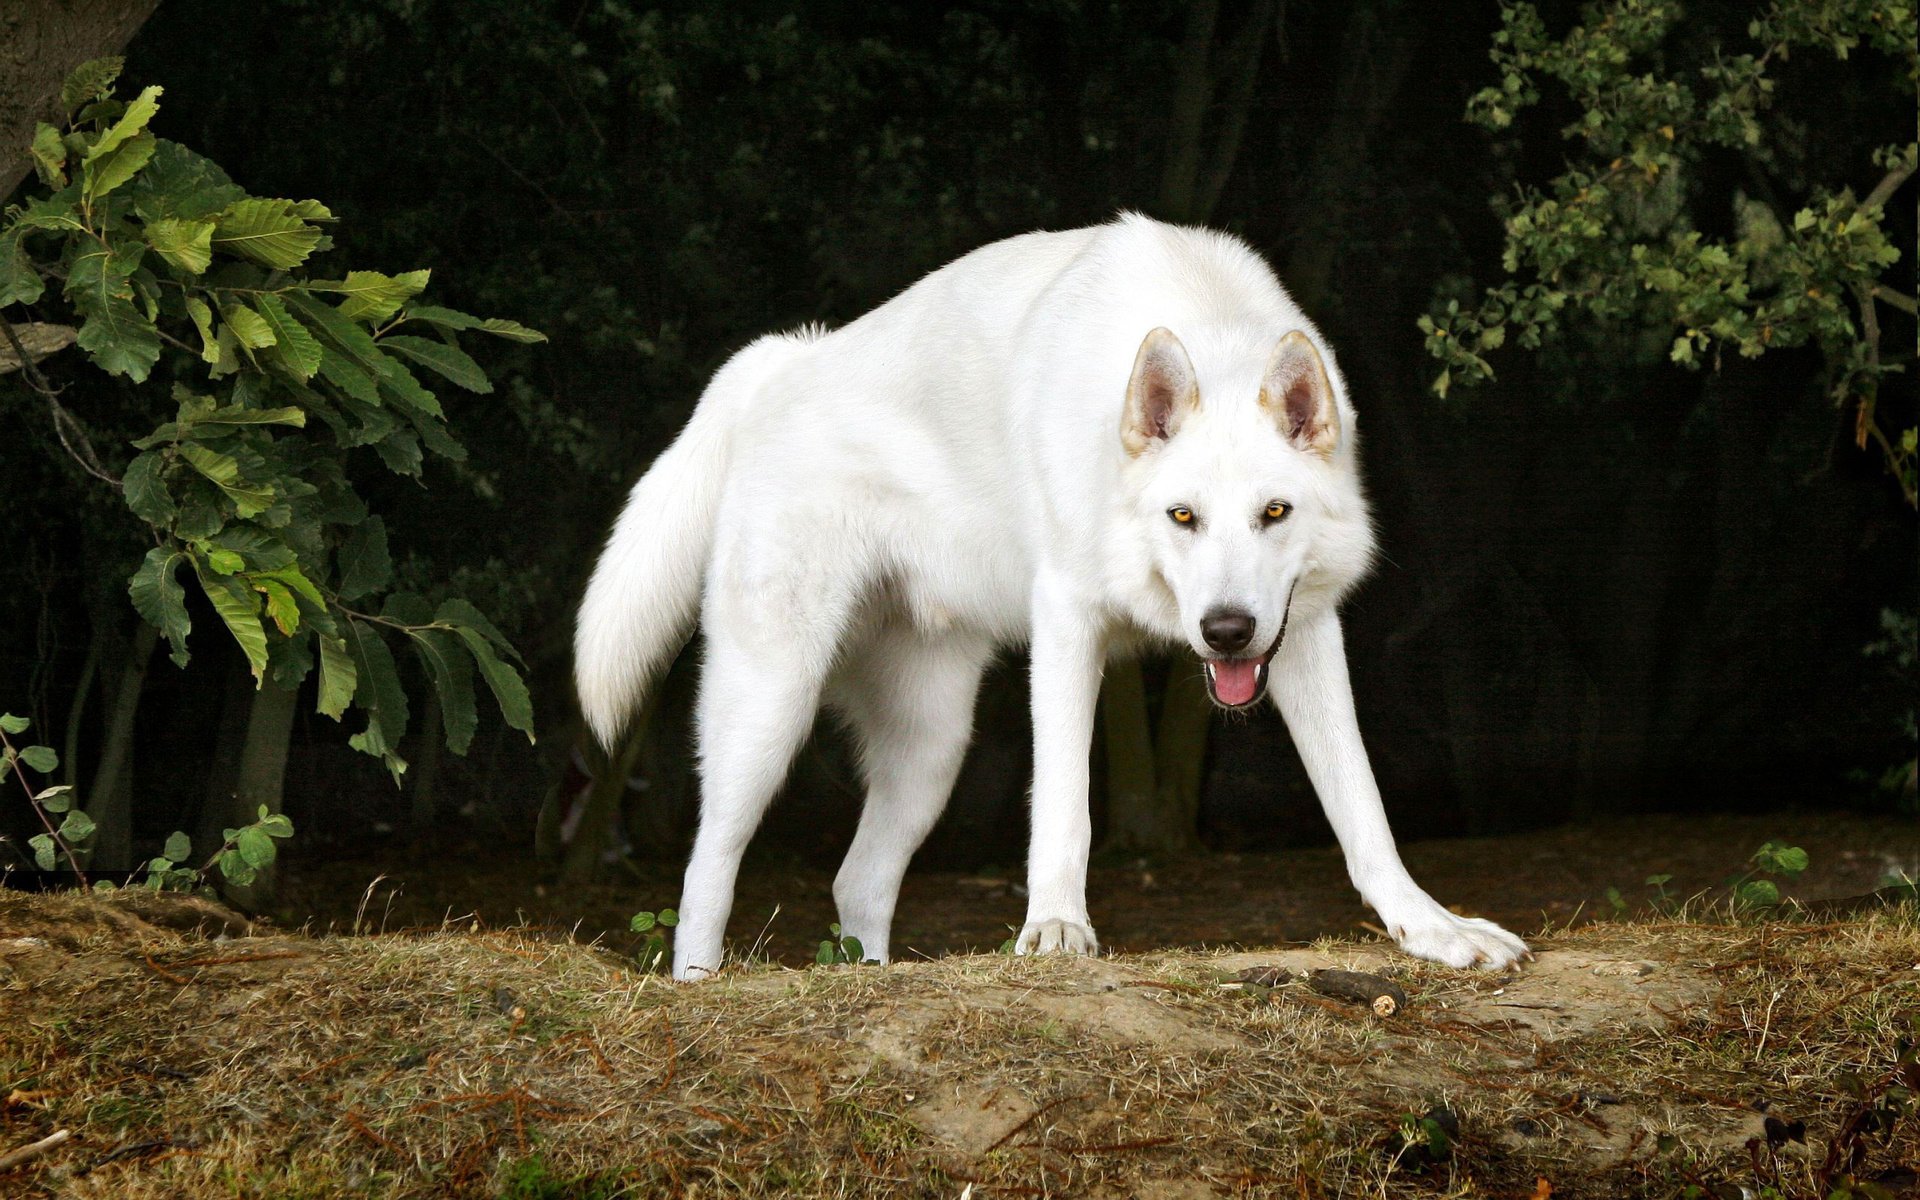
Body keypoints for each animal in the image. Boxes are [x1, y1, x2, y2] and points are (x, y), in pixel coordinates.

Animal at [572, 215, 1528, 979]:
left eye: (1274, 513)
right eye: (1183, 516)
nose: (1224, 631)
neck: (1204, 324)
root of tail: (781, 359)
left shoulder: (1305, 631)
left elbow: (1362, 806)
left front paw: (1431, 929)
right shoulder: (1069, 622)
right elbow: (1064, 807)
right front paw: (1059, 932)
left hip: (931, 751)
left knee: (857, 882)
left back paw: (870, 979)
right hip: (769, 712)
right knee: (705, 870)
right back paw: (699, 985)